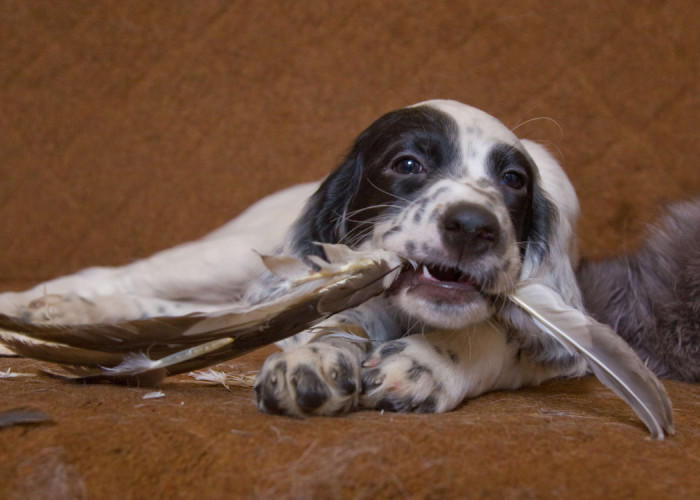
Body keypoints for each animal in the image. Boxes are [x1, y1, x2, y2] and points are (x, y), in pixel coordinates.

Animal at [2, 99, 696, 416]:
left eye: (514, 181)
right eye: (407, 165)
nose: (474, 227)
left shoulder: (568, 339)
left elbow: (497, 335)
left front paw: (427, 364)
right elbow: (333, 320)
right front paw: (316, 360)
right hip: (229, 257)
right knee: (127, 277)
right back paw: (46, 307)